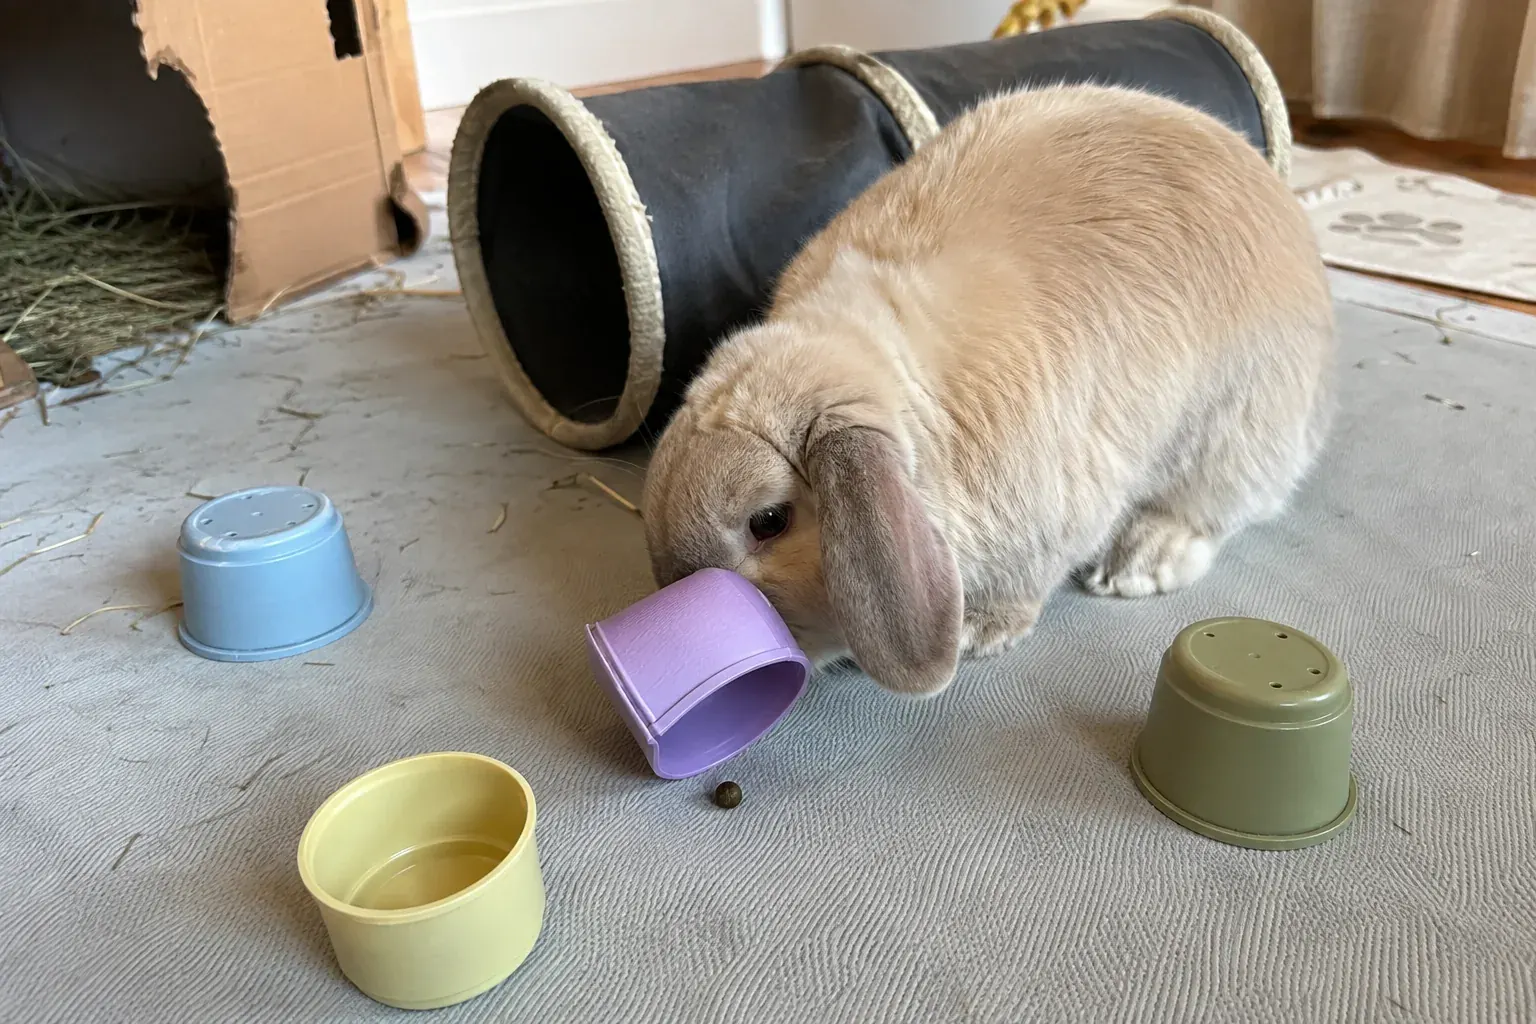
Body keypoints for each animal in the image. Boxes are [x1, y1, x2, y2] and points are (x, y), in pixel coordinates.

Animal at [642, 83, 1335, 697]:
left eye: (768, 521)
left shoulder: (1052, 515)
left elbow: (1027, 583)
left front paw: (978, 633)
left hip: (1238, 428)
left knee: (1216, 506)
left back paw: (1139, 562)